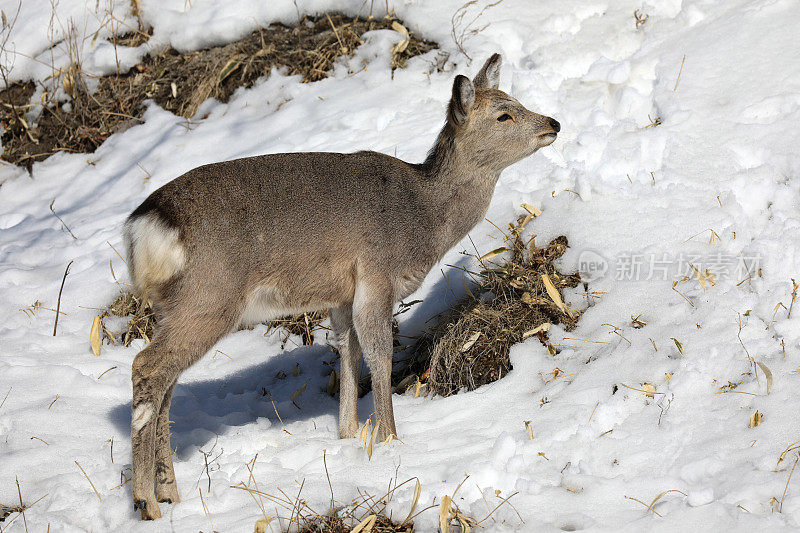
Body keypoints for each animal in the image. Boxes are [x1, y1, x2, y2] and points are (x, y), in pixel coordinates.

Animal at [126, 53, 564, 516]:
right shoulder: (376, 274)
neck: (422, 220)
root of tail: (147, 228)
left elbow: (348, 354)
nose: (553, 123)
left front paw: (348, 437)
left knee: (166, 385)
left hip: (175, 306)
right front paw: (390, 442)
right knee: (147, 368)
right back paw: (146, 501)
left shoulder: (340, 295)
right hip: (210, 296)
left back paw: (169, 493)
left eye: (516, 100)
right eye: (503, 114)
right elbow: (379, 354)